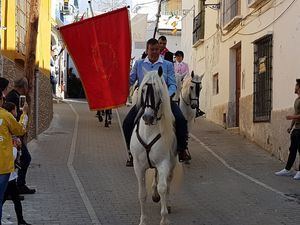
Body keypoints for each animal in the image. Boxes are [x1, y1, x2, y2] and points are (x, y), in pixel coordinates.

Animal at [131, 67, 177, 225]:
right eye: (143, 90)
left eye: (158, 91)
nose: (148, 117)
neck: (149, 131)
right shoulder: (138, 165)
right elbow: (141, 193)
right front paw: (143, 220)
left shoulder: (164, 162)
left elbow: (163, 187)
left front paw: (164, 218)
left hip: (172, 162)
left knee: (168, 182)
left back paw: (167, 203)